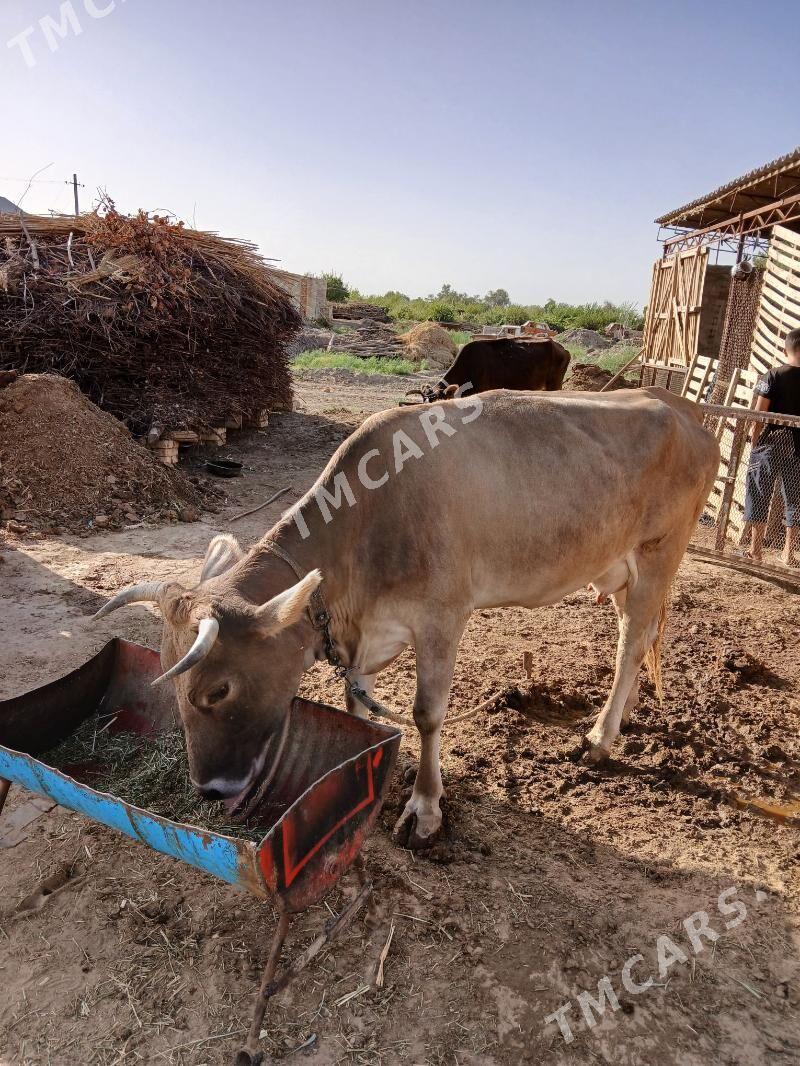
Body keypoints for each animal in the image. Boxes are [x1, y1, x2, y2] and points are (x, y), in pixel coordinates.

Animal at [93, 390, 721, 848]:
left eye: (218, 690)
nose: (206, 790)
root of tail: (680, 405)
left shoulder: (443, 616)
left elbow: (426, 714)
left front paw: (424, 807)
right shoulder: (362, 639)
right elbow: (359, 706)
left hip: (661, 551)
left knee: (632, 642)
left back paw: (600, 738)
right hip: (618, 566)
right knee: (636, 635)